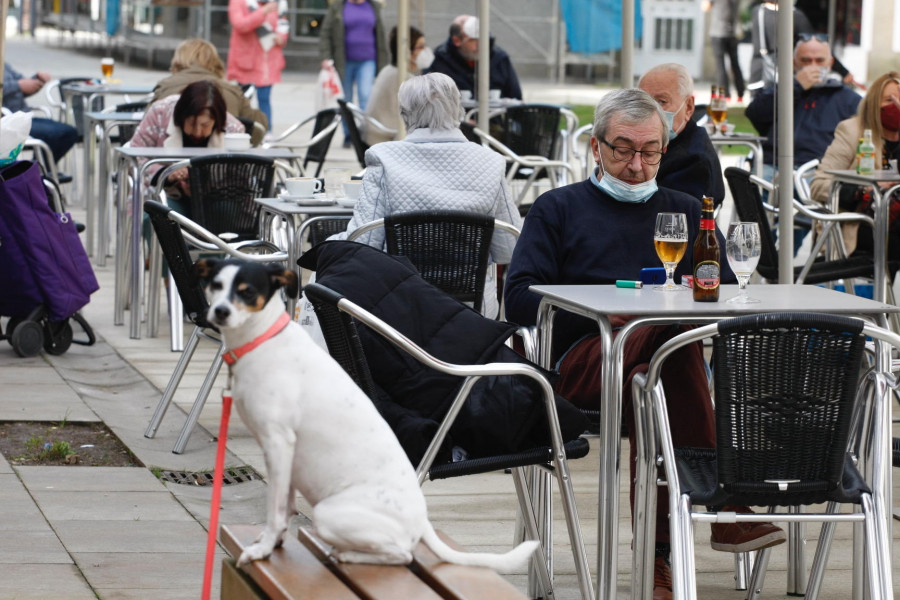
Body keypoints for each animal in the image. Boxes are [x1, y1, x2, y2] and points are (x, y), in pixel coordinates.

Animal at [194, 260, 536, 568]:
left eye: (248, 291)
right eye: (215, 285)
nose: (220, 312)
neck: (263, 340)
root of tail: (422, 519)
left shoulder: (278, 443)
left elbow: (275, 511)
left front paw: (262, 548)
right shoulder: (286, 456)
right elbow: (284, 506)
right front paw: (274, 543)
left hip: (328, 514)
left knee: (402, 554)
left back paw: (349, 555)